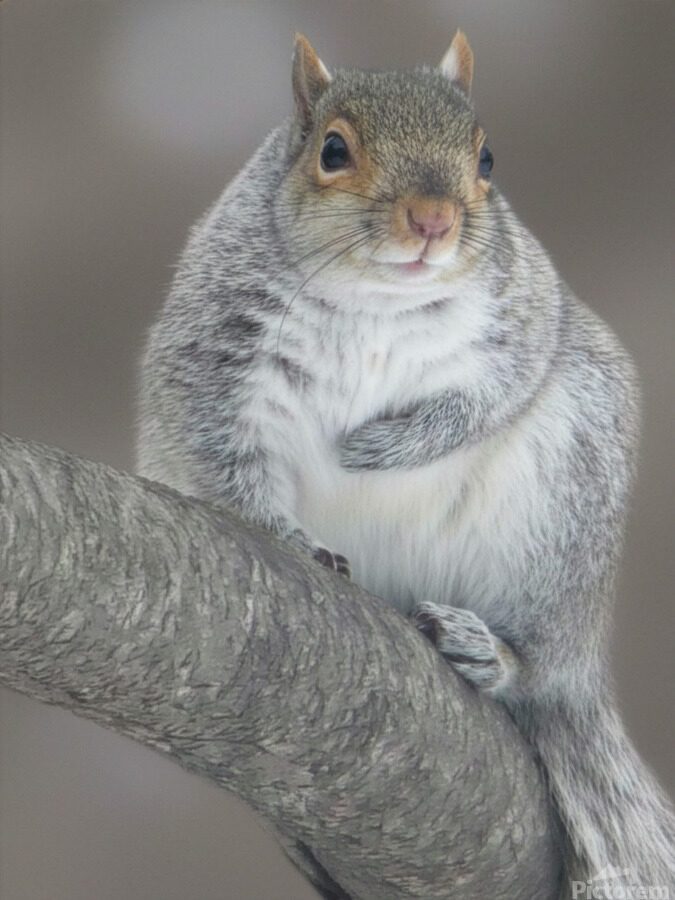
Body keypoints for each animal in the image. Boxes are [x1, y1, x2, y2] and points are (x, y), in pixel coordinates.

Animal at [137, 31, 675, 898]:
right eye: (331, 150)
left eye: (486, 158)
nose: (434, 219)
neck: (375, 298)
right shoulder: (213, 359)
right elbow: (226, 469)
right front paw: (292, 541)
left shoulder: (525, 318)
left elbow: (490, 393)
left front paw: (381, 446)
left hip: (565, 509)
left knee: (540, 674)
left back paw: (489, 650)